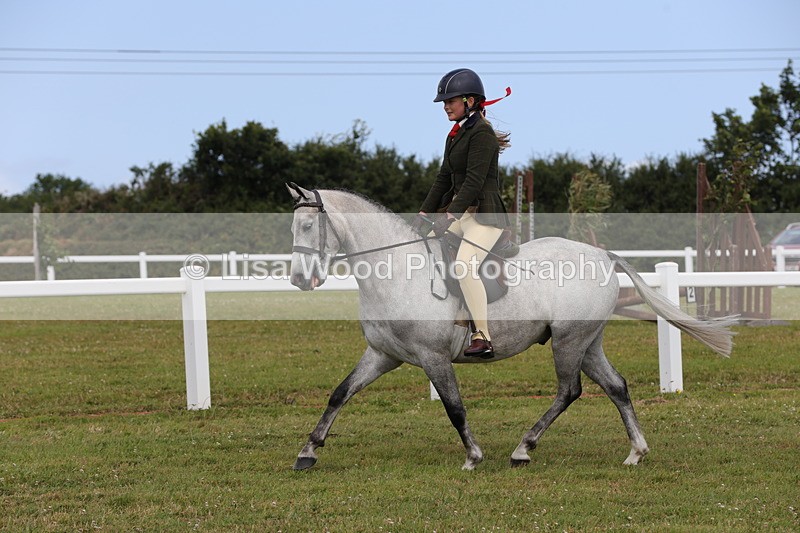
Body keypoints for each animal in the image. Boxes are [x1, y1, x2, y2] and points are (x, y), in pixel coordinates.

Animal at [286, 184, 736, 471]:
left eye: (308, 227)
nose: (299, 280)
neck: (396, 271)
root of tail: (602, 254)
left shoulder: (433, 357)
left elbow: (454, 407)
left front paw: (473, 456)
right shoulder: (383, 355)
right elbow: (340, 394)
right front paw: (308, 452)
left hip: (569, 341)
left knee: (569, 391)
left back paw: (523, 448)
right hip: (587, 342)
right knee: (616, 387)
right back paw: (635, 452)